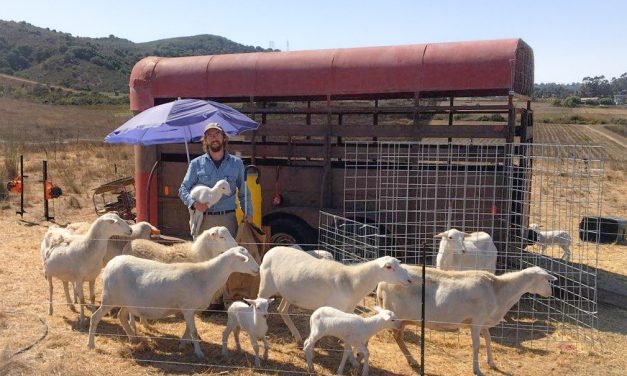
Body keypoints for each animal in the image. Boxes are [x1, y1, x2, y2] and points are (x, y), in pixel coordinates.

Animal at [87, 245, 258, 356]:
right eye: (244, 259)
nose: (257, 269)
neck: (206, 276)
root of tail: (111, 263)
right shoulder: (188, 308)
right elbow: (193, 331)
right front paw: (199, 353)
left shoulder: (191, 309)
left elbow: (189, 329)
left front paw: (182, 344)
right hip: (109, 298)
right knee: (95, 317)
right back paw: (91, 344)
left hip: (126, 302)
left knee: (121, 316)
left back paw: (133, 338)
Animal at [256, 247, 412, 344]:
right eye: (388, 267)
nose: (409, 280)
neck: (352, 281)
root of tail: (271, 250)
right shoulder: (334, 307)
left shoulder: (348, 308)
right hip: (265, 286)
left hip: (289, 292)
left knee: (282, 310)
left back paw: (297, 336)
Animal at [376, 264, 556, 376]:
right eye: (545, 279)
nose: (550, 293)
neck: (498, 291)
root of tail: (381, 285)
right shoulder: (476, 321)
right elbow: (476, 345)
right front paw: (477, 369)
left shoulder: (484, 322)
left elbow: (488, 340)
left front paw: (491, 362)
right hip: (397, 316)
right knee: (397, 337)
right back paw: (412, 360)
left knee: (398, 338)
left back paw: (411, 360)